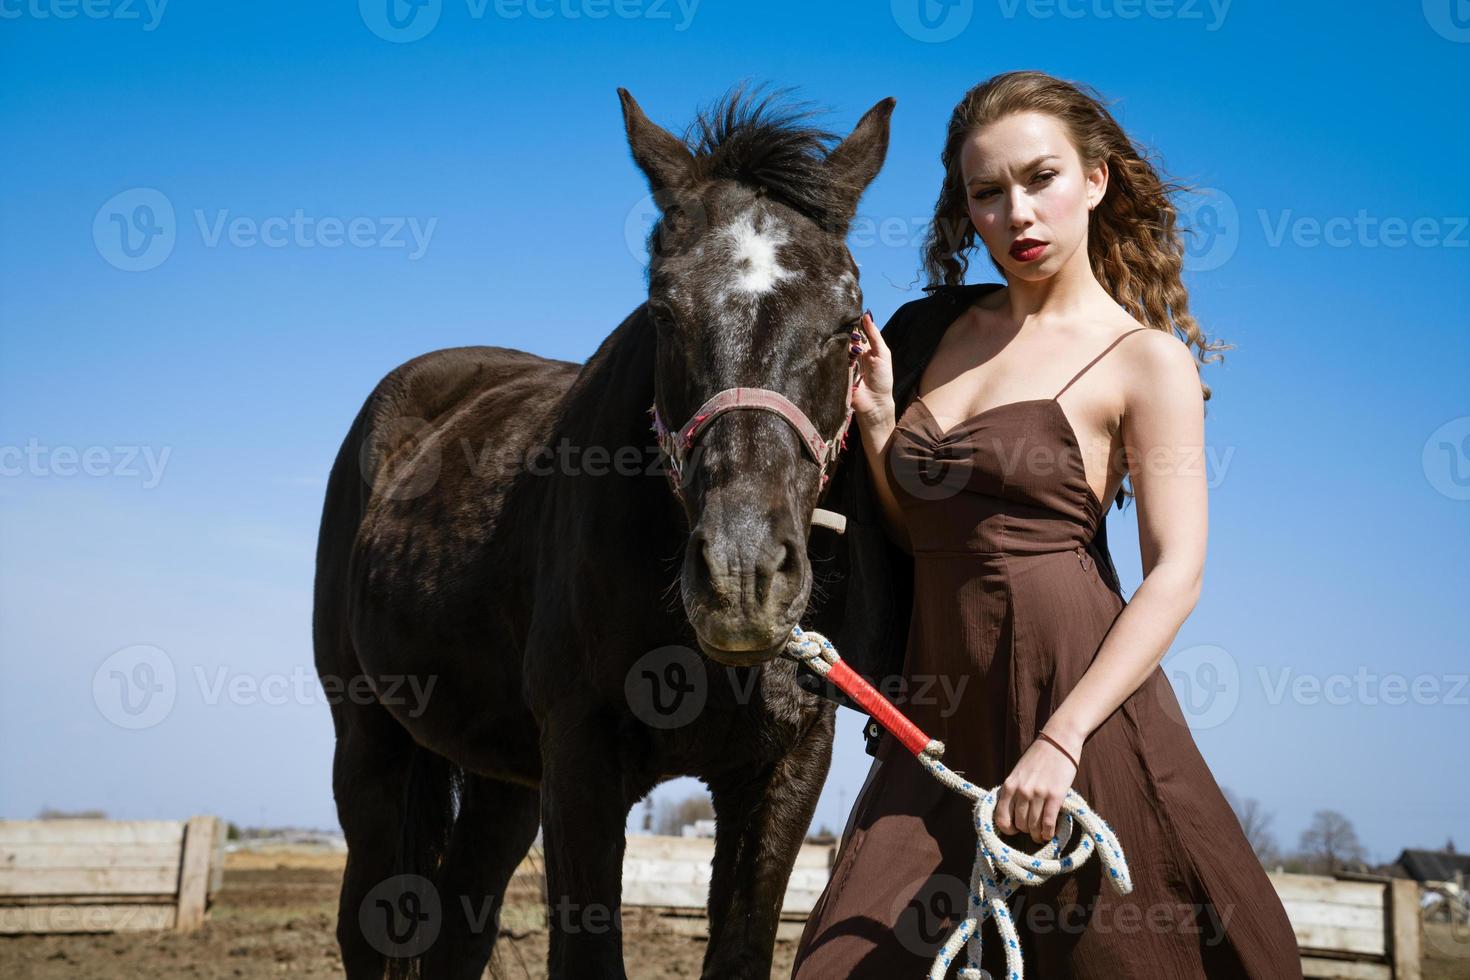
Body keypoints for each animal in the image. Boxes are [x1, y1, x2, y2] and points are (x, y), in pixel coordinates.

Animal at [313, 86, 893, 980]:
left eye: (846, 318)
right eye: (662, 307)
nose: (742, 579)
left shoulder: (785, 768)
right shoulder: (582, 760)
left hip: (504, 778)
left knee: (458, 927)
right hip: (369, 738)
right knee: (367, 924)